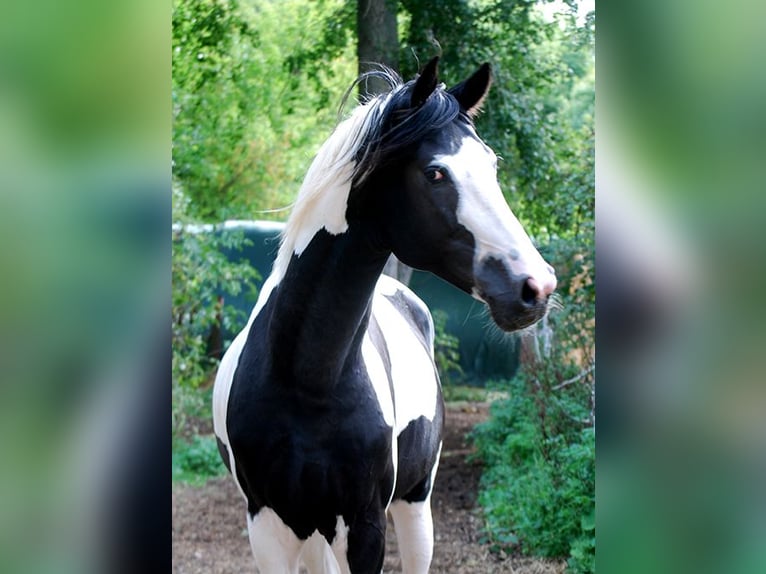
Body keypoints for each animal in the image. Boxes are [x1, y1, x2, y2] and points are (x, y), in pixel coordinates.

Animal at [212, 57, 556, 574]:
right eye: (435, 173)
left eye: (492, 166)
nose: (536, 286)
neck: (305, 379)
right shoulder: (266, 525)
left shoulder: (365, 525)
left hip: (415, 506)